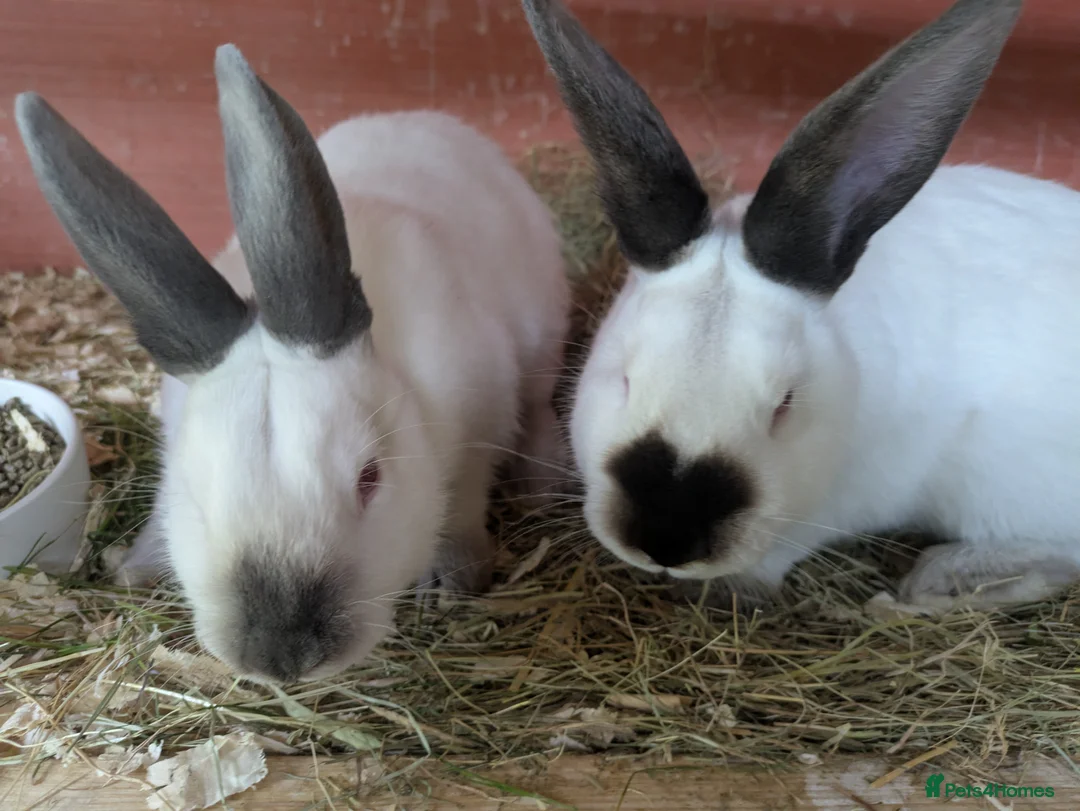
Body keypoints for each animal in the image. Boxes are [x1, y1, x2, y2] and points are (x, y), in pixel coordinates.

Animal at [15, 43, 570, 683]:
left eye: (370, 478)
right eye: (195, 491)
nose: (282, 657)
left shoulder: (482, 416)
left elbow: (463, 502)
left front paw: (454, 577)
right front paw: (136, 567)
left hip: (542, 335)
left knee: (540, 406)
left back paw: (539, 486)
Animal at [521, 0, 1080, 611]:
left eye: (785, 405)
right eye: (622, 377)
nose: (667, 538)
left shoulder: (831, 511)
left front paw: (731, 590)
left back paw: (934, 583)